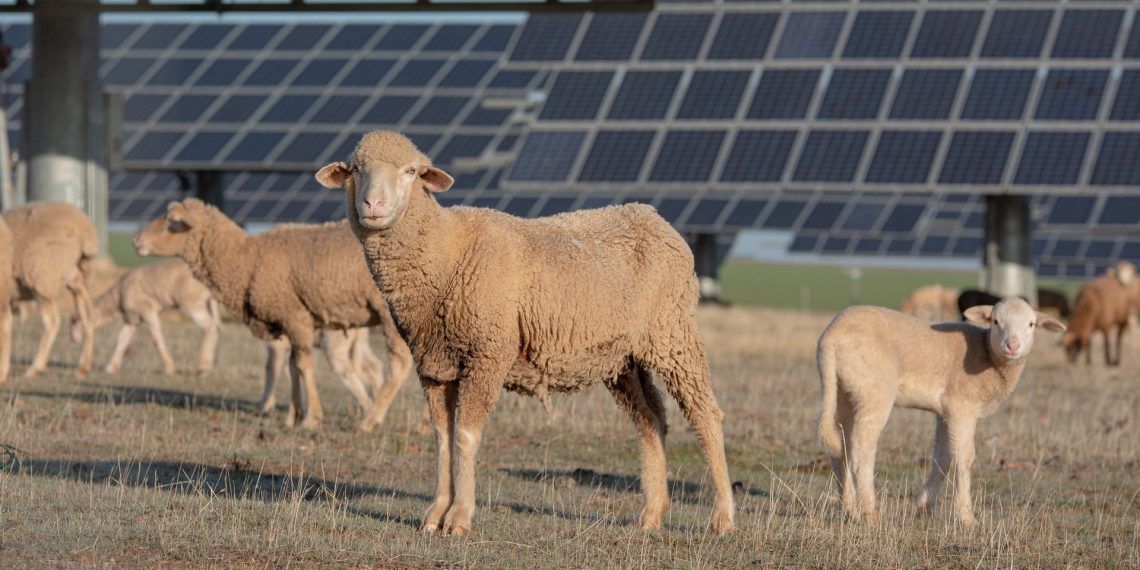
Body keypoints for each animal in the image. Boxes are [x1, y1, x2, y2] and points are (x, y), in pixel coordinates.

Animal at [3, 202, 98, 378]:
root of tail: (83, 228)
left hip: (41, 275)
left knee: (52, 321)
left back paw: (35, 368)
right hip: (75, 276)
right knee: (87, 316)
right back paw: (83, 367)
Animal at [68, 258, 219, 376]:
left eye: (76, 325)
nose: (74, 341)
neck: (116, 299)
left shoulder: (147, 311)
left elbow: (156, 338)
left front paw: (169, 368)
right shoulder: (133, 319)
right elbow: (122, 340)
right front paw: (111, 367)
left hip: (191, 302)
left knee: (209, 326)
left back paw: (203, 367)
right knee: (214, 326)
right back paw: (208, 366)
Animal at [134, 204, 413, 431]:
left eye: (171, 220)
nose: (136, 241)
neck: (246, 259)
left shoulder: (295, 316)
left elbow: (303, 366)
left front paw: (312, 418)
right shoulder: (286, 322)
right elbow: (292, 367)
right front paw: (293, 416)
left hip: (390, 313)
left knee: (400, 364)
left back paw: (370, 420)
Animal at [314, 130, 735, 536]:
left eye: (411, 172)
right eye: (356, 169)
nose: (373, 204)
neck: (446, 252)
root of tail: (653, 216)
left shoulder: (488, 354)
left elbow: (465, 436)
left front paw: (459, 518)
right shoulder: (433, 364)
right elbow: (442, 437)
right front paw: (435, 514)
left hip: (673, 333)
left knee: (705, 415)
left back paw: (723, 518)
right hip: (621, 357)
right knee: (651, 420)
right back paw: (651, 514)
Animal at [816, 298, 1064, 527]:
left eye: (1031, 324)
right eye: (995, 321)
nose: (1012, 346)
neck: (987, 355)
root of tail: (831, 337)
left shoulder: (945, 412)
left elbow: (943, 457)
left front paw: (925, 506)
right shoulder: (961, 406)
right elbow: (965, 458)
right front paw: (966, 518)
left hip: (846, 390)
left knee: (840, 447)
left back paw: (850, 510)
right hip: (874, 389)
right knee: (862, 448)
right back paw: (870, 513)